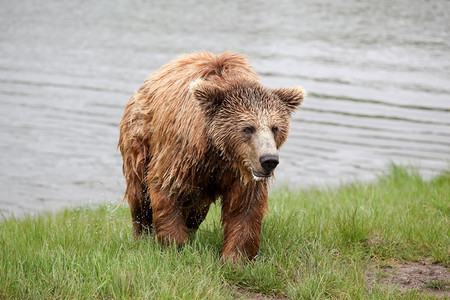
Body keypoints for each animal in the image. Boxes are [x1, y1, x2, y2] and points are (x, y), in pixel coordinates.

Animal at [118, 50, 304, 262]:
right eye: (248, 128)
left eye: (275, 128)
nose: (269, 160)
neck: (220, 152)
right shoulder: (182, 153)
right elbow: (165, 187)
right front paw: (177, 245)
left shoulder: (241, 172)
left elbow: (245, 208)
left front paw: (235, 257)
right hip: (140, 137)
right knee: (139, 192)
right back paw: (143, 235)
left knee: (197, 210)